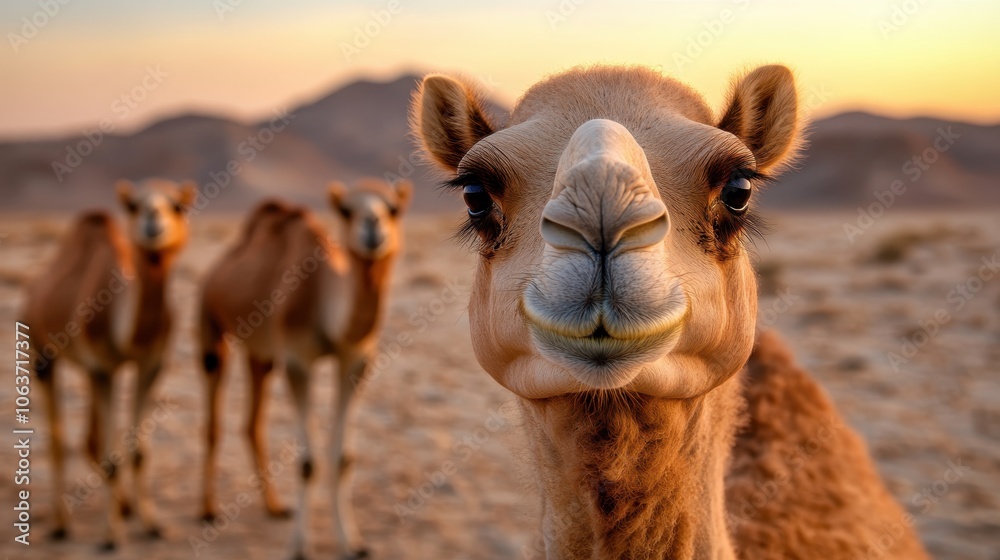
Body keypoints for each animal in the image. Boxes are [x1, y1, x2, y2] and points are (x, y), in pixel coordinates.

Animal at [24, 178, 194, 550]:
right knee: (58, 440)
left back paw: (124, 507)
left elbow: (137, 452)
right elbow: (110, 455)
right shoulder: (103, 368)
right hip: (40, 353)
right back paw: (60, 525)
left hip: (86, 371)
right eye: (134, 205)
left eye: (177, 205)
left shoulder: (149, 366)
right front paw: (110, 536)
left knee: (89, 438)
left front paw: (152, 525)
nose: (152, 220)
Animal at [198, 178, 411, 560]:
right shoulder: (298, 361)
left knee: (252, 422)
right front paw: (299, 547)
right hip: (209, 322)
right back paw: (207, 510)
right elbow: (307, 462)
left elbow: (342, 458)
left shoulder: (356, 361)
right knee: (212, 420)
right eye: (346, 210)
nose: (373, 227)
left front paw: (353, 544)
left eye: (394, 209)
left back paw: (274, 506)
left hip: (260, 352)